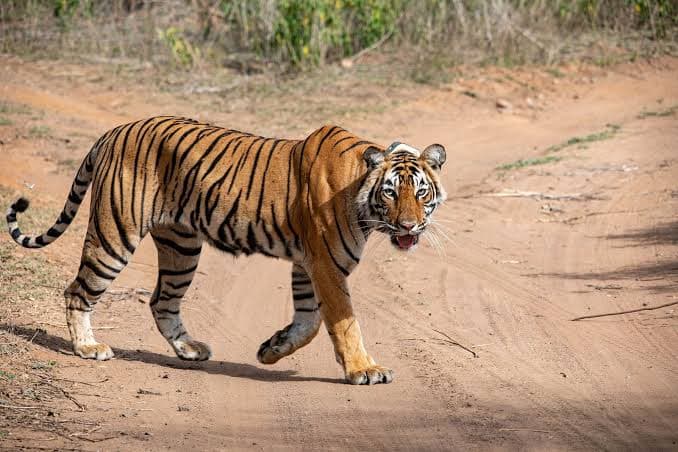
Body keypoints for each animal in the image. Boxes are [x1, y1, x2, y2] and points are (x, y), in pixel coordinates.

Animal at [5, 116, 446, 385]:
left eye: (421, 193)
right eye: (390, 193)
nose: (409, 226)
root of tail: (115, 130)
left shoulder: (308, 264)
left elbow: (309, 321)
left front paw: (272, 349)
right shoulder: (325, 264)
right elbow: (343, 322)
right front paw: (364, 370)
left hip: (181, 246)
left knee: (162, 300)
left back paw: (189, 349)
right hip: (115, 234)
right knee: (78, 290)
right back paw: (87, 347)